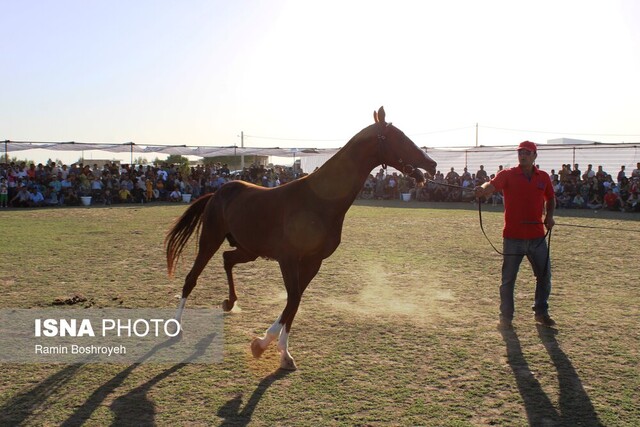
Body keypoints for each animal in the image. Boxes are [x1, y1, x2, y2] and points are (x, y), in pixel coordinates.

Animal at [165, 108, 438, 372]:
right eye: (398, 137)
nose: (432, 164)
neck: (318, 202)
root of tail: (217, 192)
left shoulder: (313, 262)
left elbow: (294, 302)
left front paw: (278, 351)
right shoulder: (288, 260)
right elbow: (293, 299)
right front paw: (266, 346)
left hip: (248, 249)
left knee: (227, 260)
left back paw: (229, 302)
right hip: (210, 240)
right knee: (192, 278)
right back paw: (177, 327)